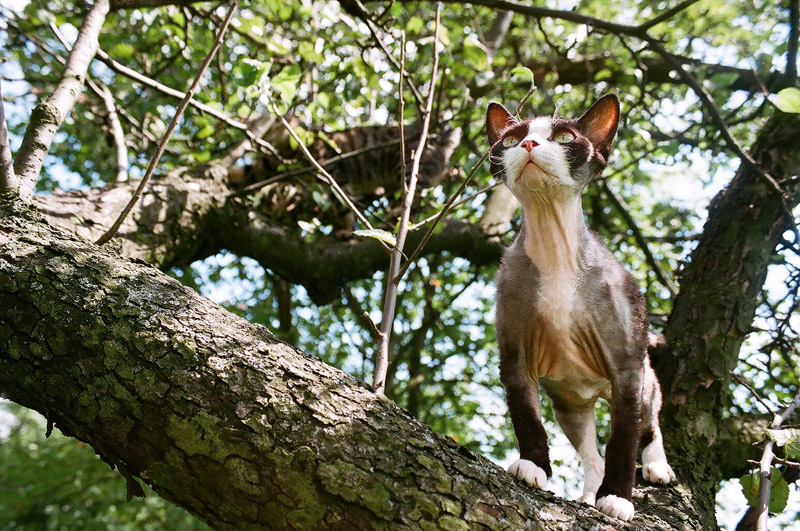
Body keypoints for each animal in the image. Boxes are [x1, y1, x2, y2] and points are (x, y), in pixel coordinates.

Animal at [488, 93, 676, 520]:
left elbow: (622, 441)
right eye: (510, 140)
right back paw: (589, 494)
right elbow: (527, 417)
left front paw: (618, 498)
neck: (556, 251)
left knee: (649, 424)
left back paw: (656, 467)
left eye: (563, 137)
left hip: (644, 379)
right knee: (591, 453)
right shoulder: (515, 356)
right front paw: (533, 466)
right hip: (572, 405)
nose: (529, 145)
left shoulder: (626, 368)